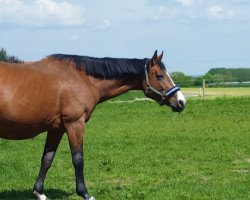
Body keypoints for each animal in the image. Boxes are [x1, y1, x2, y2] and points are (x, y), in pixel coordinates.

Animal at [0, 50, 186, 199]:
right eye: (159, 76)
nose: (181, 102)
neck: (82, 78)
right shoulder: (75, 124)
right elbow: (78, 159)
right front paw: (84, 193)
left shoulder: (57, 128)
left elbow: (47, 159)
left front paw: (39, 192)